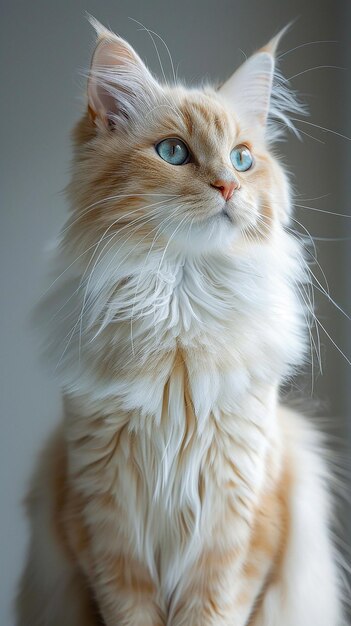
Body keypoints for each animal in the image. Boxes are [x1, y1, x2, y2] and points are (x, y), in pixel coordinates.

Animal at [15, 18, 344, 624]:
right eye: (173, 152)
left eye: (241, 159)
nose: (228, 187)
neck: (180, 306)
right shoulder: (105, 521)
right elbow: (131, 608)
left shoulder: (238, 525)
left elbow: (213, 608)